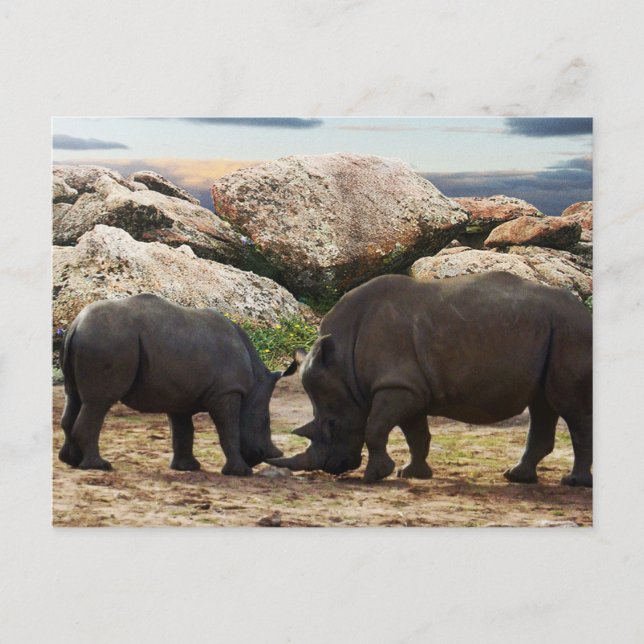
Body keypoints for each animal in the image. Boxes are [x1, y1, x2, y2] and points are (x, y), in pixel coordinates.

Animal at [58, 294, 296, 475]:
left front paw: (187, 468)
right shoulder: (226, 392)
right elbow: (229, 430)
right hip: (107, 339)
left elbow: (183, 432)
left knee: (74, 398)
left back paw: (72, 461)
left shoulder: (179, 395)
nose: (266, 456)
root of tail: (75, 325)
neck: (255, 384)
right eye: (266, 421)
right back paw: (99, 466)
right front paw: (240, 472)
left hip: (95, 338)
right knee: (98, 402)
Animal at [269, 272, 592, 487]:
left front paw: (375, 476)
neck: (344, 366)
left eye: (333, 425)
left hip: (570, 331)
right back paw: (517, 477)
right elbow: (415, 434)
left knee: (570, 408)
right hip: (552, 332)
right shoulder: (410, 387)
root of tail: (584, 313)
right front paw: (412, 473)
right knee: (542, 404)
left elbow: (375, 427)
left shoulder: (396, 385)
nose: (334, 468)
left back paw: (573, 482)